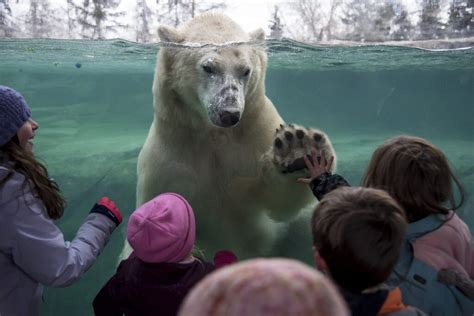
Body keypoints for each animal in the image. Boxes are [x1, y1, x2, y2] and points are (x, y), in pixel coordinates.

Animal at [127, 12, 334, 260]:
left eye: (245, 70)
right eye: (208, 67)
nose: (230, 113)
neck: (215, 135)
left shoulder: (255, 135)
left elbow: (278, 204)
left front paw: (298, 150)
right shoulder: (169, 159)